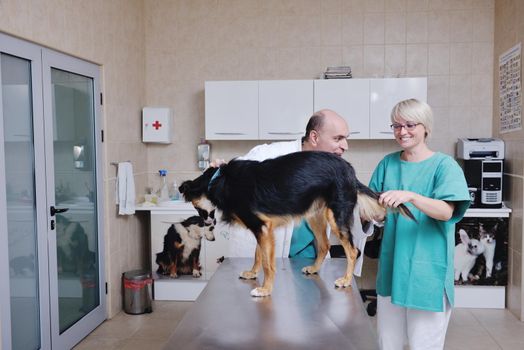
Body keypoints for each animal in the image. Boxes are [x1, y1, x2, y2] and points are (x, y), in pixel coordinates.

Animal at [179, 152, 414, 296]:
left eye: (195, 207)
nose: (206, 222)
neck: (217, 181)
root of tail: (350, 171)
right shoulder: (262, 228)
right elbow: (258, 255)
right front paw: (253, 274)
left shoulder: (261, 227)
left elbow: (268, 263)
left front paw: (265, 289)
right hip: (315, 215)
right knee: (324, 245)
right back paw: (315, 268)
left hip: (335, 217)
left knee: (353, 250)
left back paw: (346, 280)